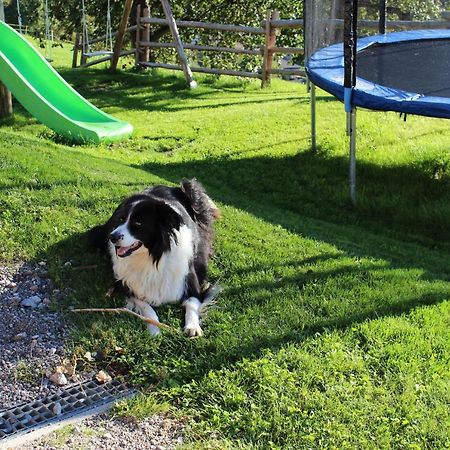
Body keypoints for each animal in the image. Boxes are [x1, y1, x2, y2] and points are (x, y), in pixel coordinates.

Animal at [88, 178, 220, 336]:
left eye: (138, 223)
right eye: (121, 219)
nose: (112, 237)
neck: (152, 257)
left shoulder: (191, 283)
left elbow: (192, 304)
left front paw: (193, 326)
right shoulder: (127, 285)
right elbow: (147, 307)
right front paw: (154, 328)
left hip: (193, 192)